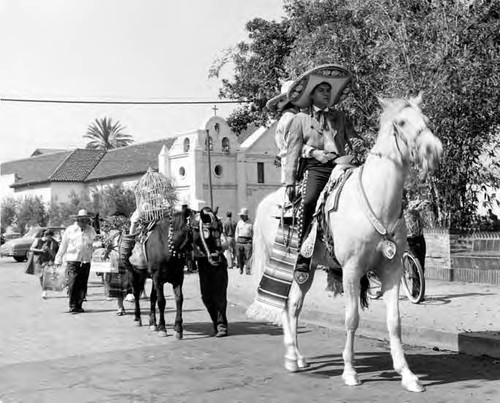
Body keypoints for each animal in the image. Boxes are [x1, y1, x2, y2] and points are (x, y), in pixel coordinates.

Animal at [250, 93, 442, 392]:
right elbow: (352, 319)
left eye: (426, 118)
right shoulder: (352, 270)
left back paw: (298, 357)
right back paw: (291, 358)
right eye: (400, 122)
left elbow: (395, 322)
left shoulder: (392, 270)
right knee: (284, 305)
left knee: (294, 306)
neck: (377, 200)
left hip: (306, 268)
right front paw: (350, 371)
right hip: (285, 263)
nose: (434, 150)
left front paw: (408, 375)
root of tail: (265, 203)